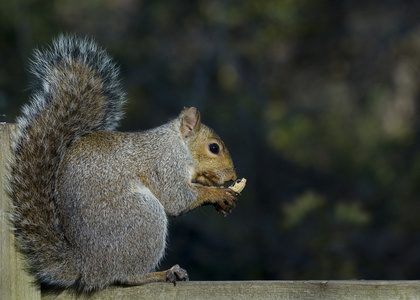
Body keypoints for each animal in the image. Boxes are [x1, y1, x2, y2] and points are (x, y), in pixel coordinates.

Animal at [7, 35, 243, 292]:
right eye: (214, 148)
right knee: (128, 276)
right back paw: (162, 273)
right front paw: (217, 194)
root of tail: (87, 267)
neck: (177, 145)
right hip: (142, 217)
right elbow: (177, 198)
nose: (232, 176)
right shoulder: (164, 164)